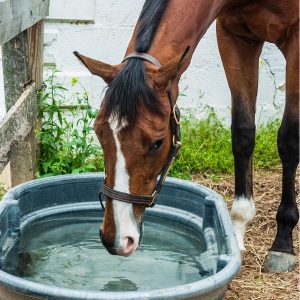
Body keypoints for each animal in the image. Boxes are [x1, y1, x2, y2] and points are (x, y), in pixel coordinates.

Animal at [74, 0, 298, 272]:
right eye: (99, 133)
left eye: (157, 143)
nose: (115, 239)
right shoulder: (234, 36)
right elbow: (243, 132)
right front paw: (237, 230)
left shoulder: (296, 41)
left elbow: (289, 139)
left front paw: (283, 242)